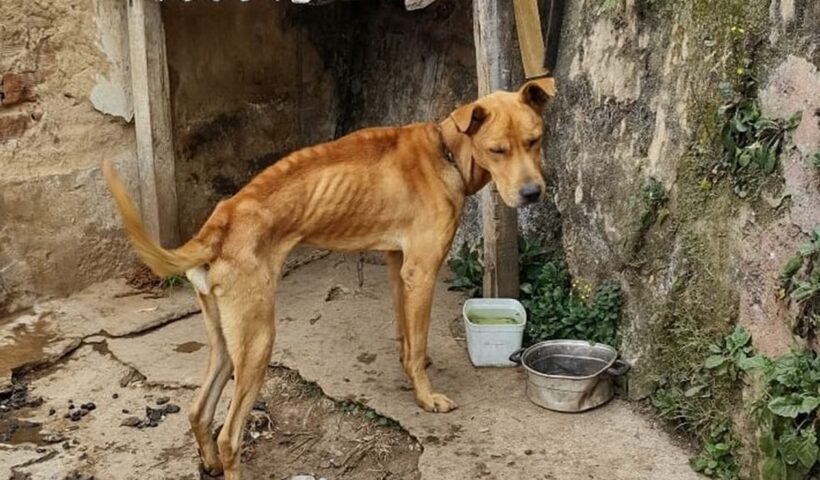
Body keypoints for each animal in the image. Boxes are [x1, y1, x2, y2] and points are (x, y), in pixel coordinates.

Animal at [101, 77, 552, 478]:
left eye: (535, 140)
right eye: (497, 150)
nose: (533, 194)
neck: (447, 152)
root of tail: (221, 221)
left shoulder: (398, 265)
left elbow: (407, 335)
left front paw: (412, 365)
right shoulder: (422, 271)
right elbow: (418, 338)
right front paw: (426, 396)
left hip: (228, 340)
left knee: (198, 412)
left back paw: (208, 463)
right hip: (258, 340)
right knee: (229, 435)